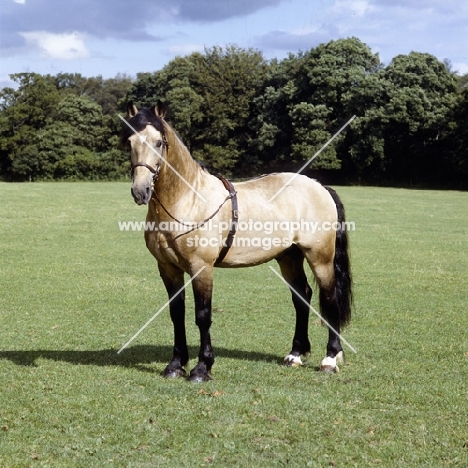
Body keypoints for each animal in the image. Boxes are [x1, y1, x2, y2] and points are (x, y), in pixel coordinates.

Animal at [120, 101, 352, 380]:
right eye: (130, 141)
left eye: (158, 142)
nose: (140, 191)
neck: (189, 199)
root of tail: (319, 187)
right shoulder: (167, 268)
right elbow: (177, 314)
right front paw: (175, 365)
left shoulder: (201, 268)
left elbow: (203, 316)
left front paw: (202, 368)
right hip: (289, 257)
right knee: (302, 297)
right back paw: (295, 354)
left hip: (320, 258)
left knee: (329, 298)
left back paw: (330, 357)